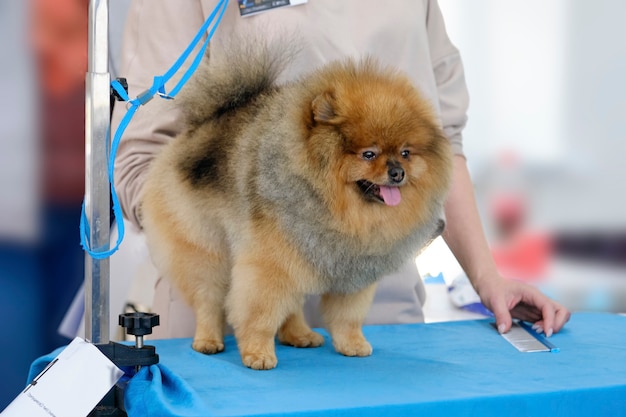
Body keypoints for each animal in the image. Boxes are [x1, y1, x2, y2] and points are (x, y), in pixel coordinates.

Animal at [142, 35, 450, 368]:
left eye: (406, 153)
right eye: (368, 154)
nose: (397, 173)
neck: (337, 206)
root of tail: (198, 129)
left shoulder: (348, 269)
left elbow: (347, 316)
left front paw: (352, 343)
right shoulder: (269, 263)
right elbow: (260, 314)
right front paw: (258, 353)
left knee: (291, 303)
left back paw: (300, 334)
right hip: (205, 247)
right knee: (208, 299)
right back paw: (208, 340)